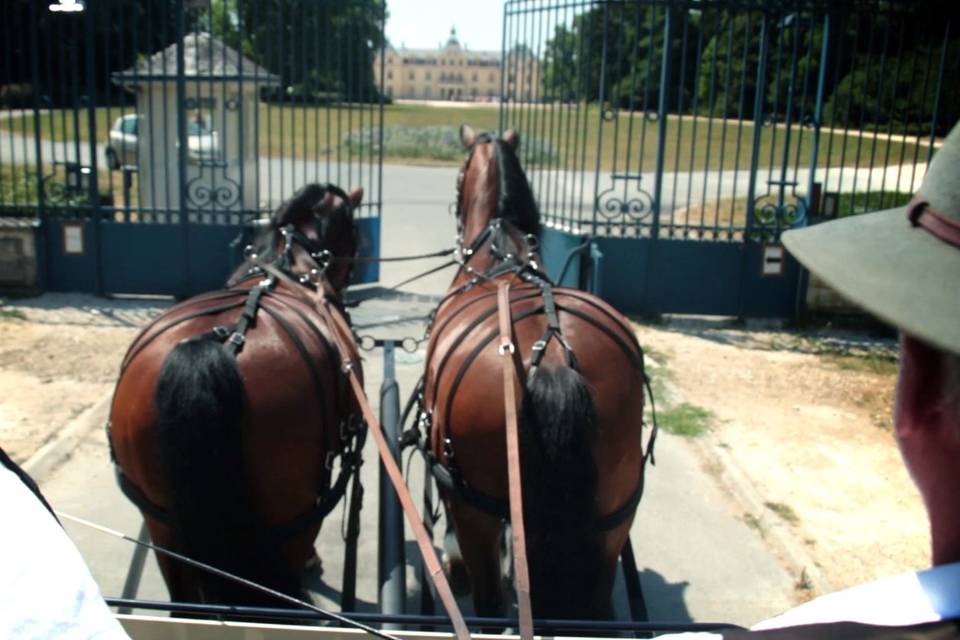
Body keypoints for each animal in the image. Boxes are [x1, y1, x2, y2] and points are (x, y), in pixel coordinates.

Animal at [107, 184, 366, 604]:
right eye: (356, 232)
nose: (350, 273)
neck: (290, 262)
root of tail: (220, 347)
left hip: (163, 526)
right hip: (294, 520)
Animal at [416, 126, 656, 620]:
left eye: (458, 178)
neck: (499, 256)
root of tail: (553, 358)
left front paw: (453, 561)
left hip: (475, 508)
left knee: (489, 604)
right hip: (614, 521)